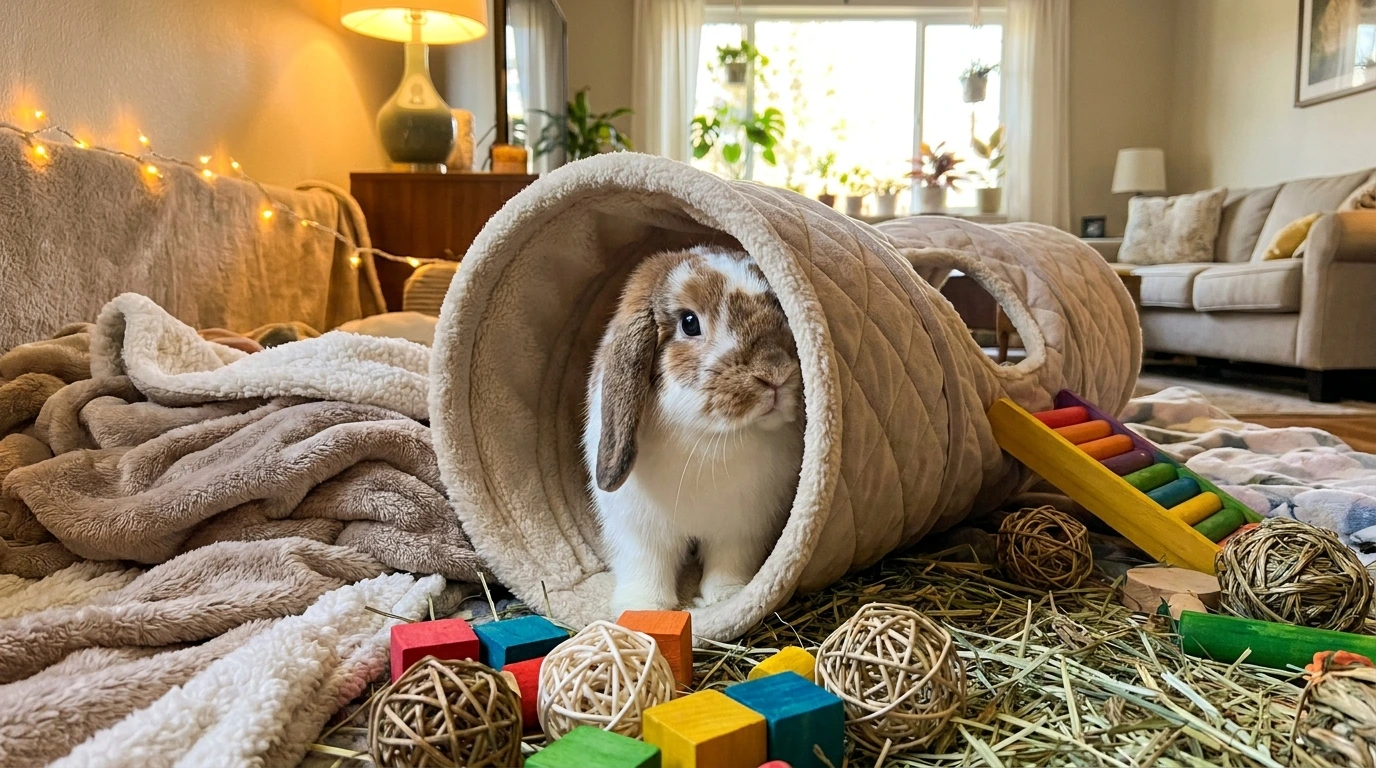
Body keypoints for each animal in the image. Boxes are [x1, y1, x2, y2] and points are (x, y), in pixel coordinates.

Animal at [583, 245, 805, 616]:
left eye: (781, 310)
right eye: (689, 323)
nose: (774, 371)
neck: (712, 438)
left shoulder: (740, 529)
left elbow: (728, 562)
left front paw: (725, 597)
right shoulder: (640, 533)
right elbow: (646, 566)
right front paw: (644, 608)